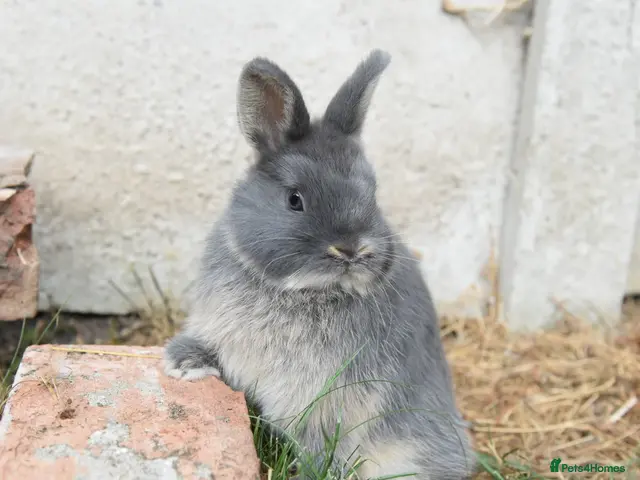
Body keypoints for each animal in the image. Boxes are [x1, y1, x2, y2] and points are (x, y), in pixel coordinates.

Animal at [164, 49, 476, 480]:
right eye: (295, 199)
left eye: (373, 194)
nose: (351, 250)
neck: (300, 291)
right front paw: (184, 364)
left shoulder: (325, 406)